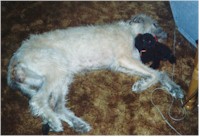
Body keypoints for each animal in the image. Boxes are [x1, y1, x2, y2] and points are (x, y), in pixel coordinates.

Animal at [7, 14, 184, 133]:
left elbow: (155, 73)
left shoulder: (120, 64)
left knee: (57, 106)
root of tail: (15, 60)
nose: (167, 34)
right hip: (55, 69)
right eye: (155, 23)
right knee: (38, 100)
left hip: (62, 75)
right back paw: (54, 122)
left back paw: (77, 124)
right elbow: (157, 74)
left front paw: (171, 88)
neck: (130, 31)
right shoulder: (125, 58)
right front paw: (145, 85)